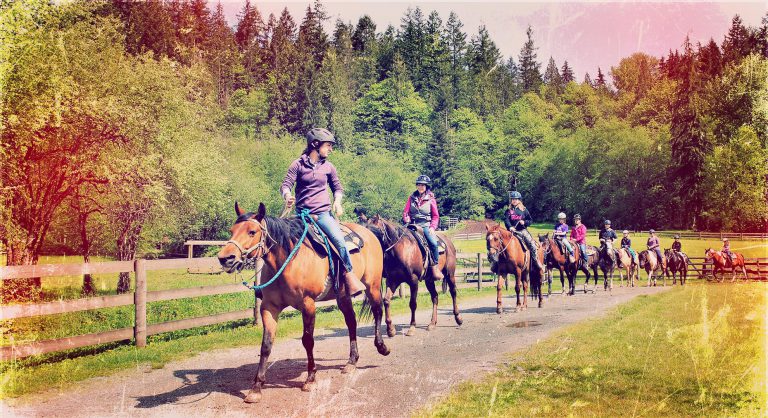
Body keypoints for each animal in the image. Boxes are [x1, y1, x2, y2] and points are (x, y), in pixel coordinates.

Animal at [218, 204, 390, 404]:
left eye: (252, 231)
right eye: (232, 230)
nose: (225, 258)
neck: (288, 261)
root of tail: (368, 232)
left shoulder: (308, 305)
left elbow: (308, 341)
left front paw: (310, 379)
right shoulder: (269, 307)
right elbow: (266, 345)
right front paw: (256, 388)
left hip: (373, 285)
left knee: (377, 311)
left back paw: (382, 346)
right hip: (343, 295)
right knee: (351, 322)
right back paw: (351, 362)